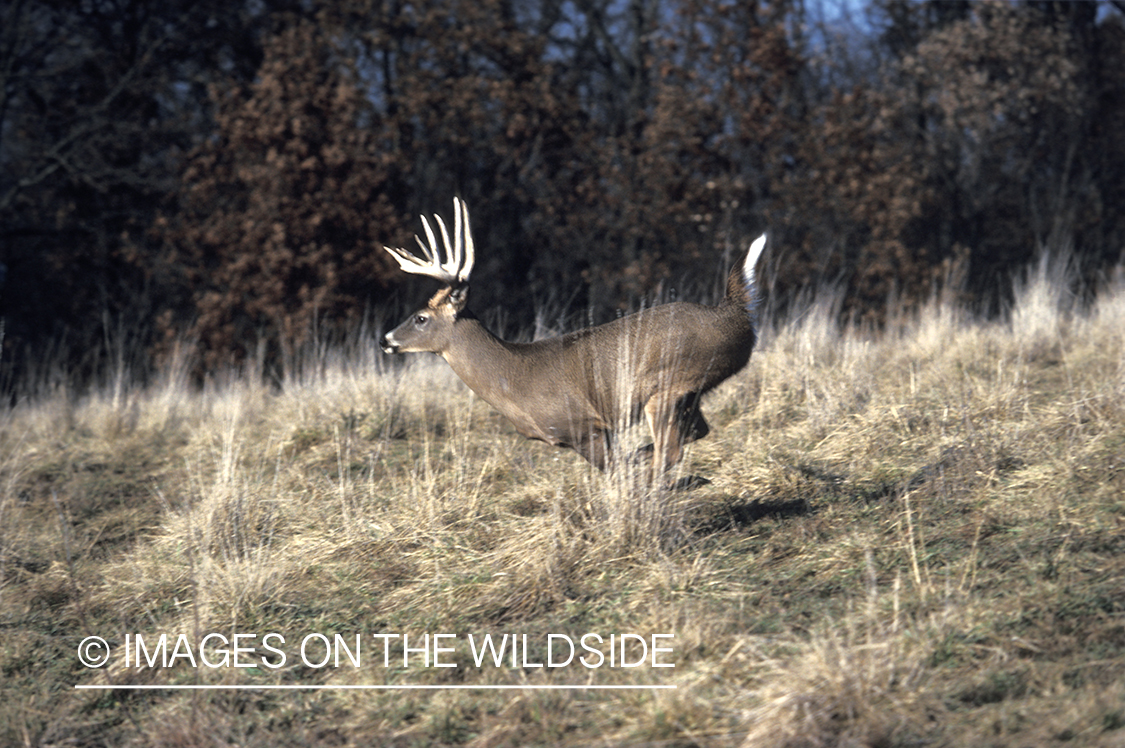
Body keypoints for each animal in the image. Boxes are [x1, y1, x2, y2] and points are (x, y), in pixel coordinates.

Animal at [380, 196, 765, 483]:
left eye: (421, 317)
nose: (385, 339)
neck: (512, 379)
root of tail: (734, 313)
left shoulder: (583, 426)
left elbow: (615, 472)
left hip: (669, 384)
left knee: (670, 450)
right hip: (688, 394)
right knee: (695, 433)